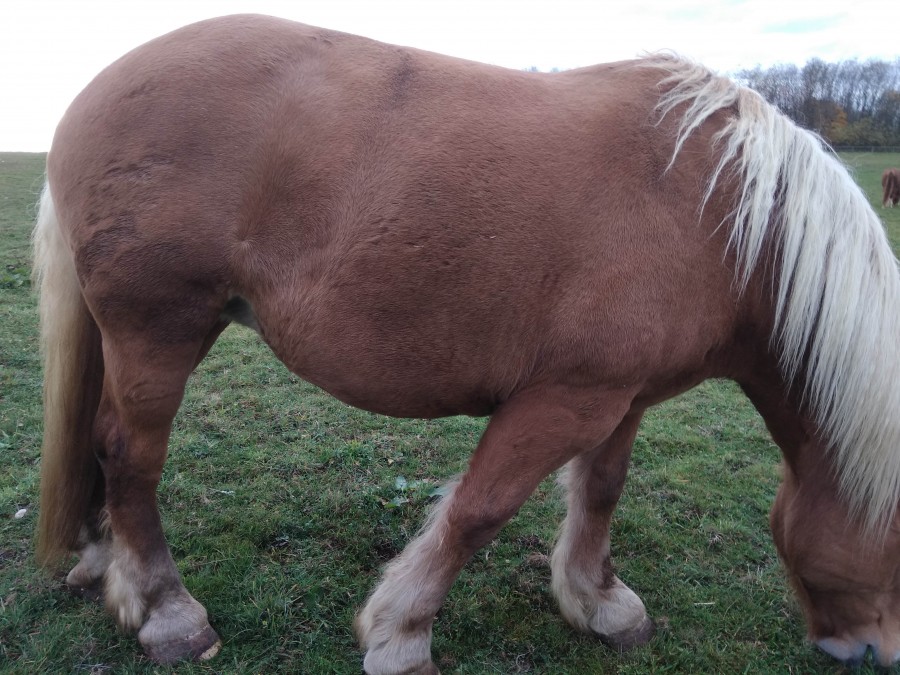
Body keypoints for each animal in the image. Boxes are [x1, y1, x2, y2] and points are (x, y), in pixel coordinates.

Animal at [33, 14, 900, 672]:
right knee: (130, 455)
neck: (719, 218)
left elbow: (601, 489)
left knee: (104, 449)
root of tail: (90, 94)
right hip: (158, 330)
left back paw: (105, 565)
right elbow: (480, 510)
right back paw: (165, 611)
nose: (874, 650)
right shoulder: (560, 400)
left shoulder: (620, 395)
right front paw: (399, 633)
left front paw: (599, 602)